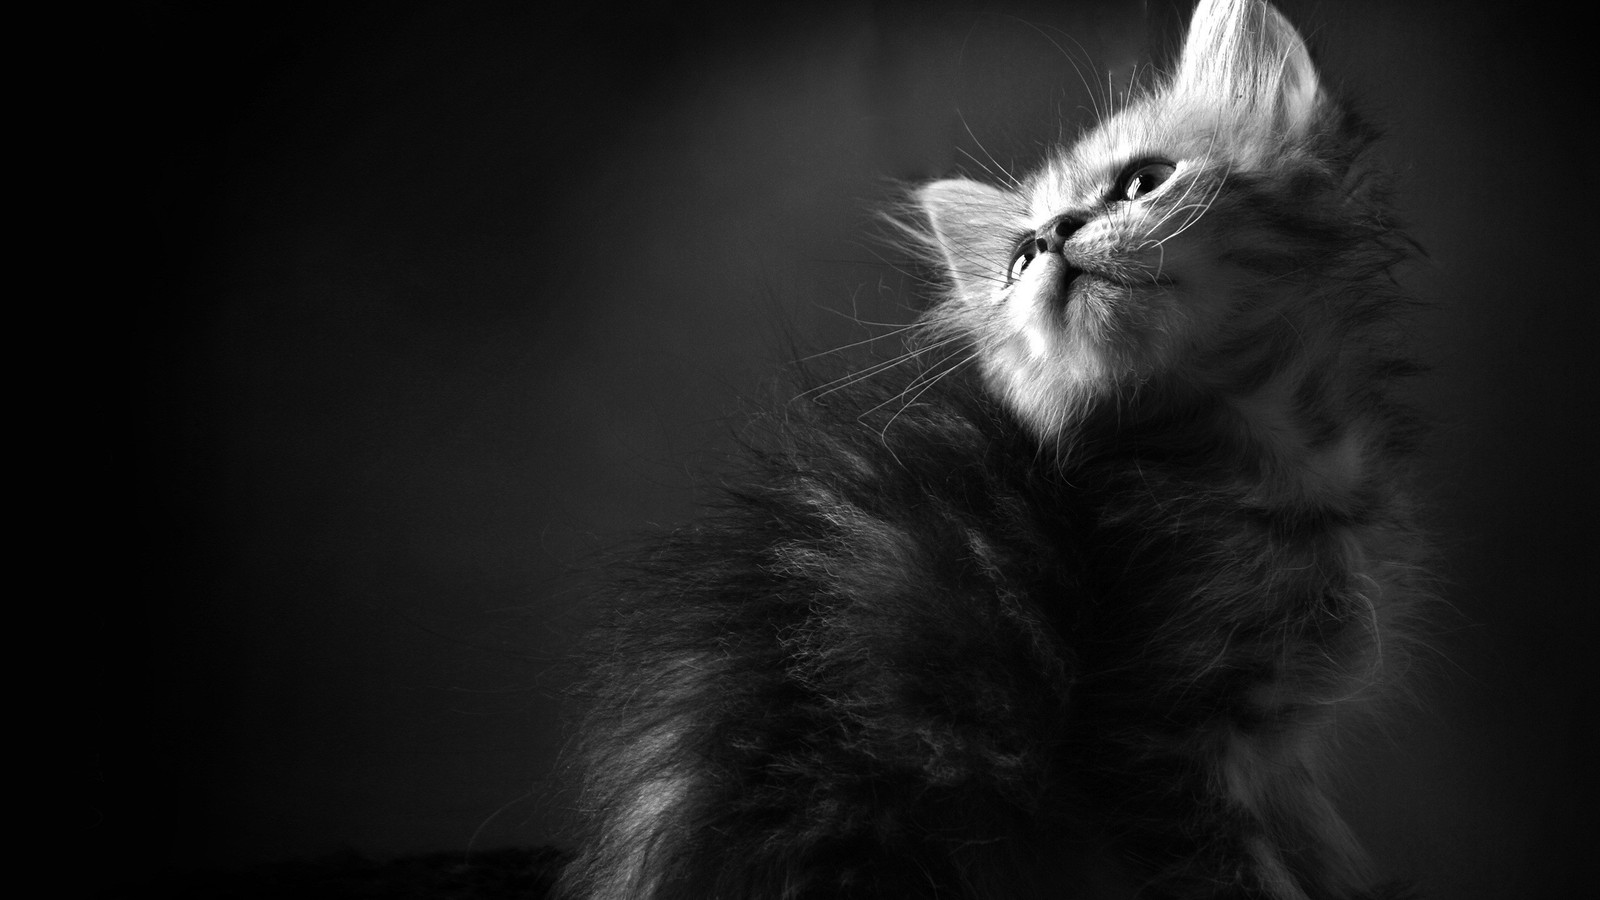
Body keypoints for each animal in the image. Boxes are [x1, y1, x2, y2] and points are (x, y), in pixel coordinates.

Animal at [560, 3, 1427, 890]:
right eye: (1019, 257)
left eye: (1144, 181)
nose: (1054, 234)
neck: (1266, 455)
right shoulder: (1153, 744)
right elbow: (1245, 873)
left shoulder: (1278, 762)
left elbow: (1319, 853)